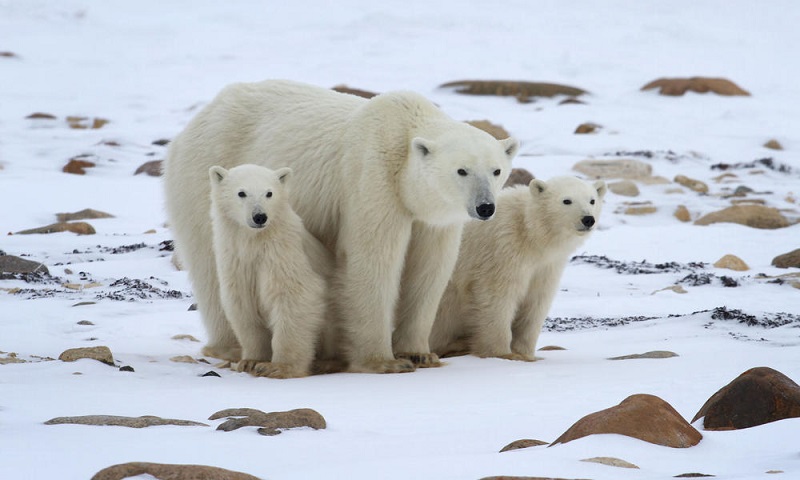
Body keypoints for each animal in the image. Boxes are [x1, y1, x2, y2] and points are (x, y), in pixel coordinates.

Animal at [209, 165, 332, 378]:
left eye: (269, 193)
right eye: (241, 193)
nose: (260, 216)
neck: (255, 241)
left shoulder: (283, 254)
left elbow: (295, 296)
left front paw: (278, 367)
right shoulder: (236, 261)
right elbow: (243, 305)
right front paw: (250, 361)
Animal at [432, 176, 608, 360]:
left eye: (592, 200)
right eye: (566, 200)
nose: (588, 219)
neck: (529, 231)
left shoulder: (546, 266)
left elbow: (536, 302)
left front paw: (526, 353)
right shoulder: (502, 249)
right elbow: (496, 296)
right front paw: (502, 353)